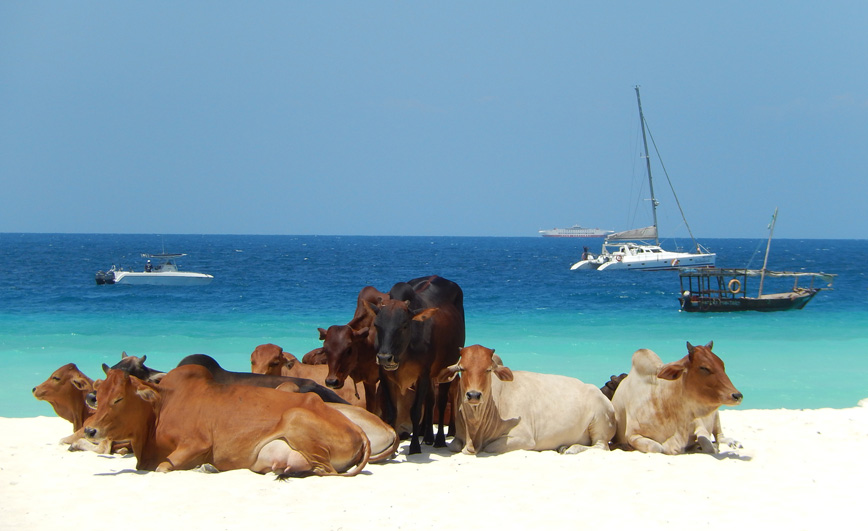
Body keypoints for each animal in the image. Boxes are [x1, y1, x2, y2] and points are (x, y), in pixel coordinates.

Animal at [85, 366, 372, 478]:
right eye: (98, 395)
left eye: (119, 399)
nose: (89, 429)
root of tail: (358, 429)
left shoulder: (197, 443)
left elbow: (164, 467)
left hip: (296, 417)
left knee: (324, 471)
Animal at [434, 348, 616, 456]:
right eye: (461, 369)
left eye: (488, 370)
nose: (473, 395)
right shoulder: (458, 438)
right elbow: (454, 446)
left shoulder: (523, 437)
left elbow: (489, 447)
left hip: (600, 421)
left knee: (601, 446)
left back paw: (572, 448)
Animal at [612, 342, 744, 456]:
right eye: (704, 367)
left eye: (722, 365)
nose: (737, 395)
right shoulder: (632, 435)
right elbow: (657, 447)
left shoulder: (698, 425)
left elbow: (708, 446)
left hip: (716, 417)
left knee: (720, 436)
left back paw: (734, 442)